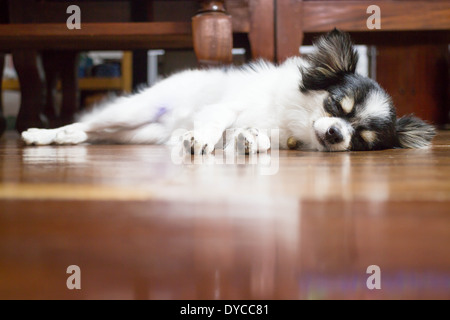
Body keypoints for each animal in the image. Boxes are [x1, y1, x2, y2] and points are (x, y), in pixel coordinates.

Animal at [22, 28, 436, 152]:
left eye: (362, 140)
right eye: (335, 105)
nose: (336, 133)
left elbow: (258, 139)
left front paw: (250, 140)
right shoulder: (226, 108)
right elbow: (217, 121)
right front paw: (203, 140)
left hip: (139, 134)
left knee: (95, 132)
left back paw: (67, 138)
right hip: (134, 112)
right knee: (90, 124)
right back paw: (43, 133)